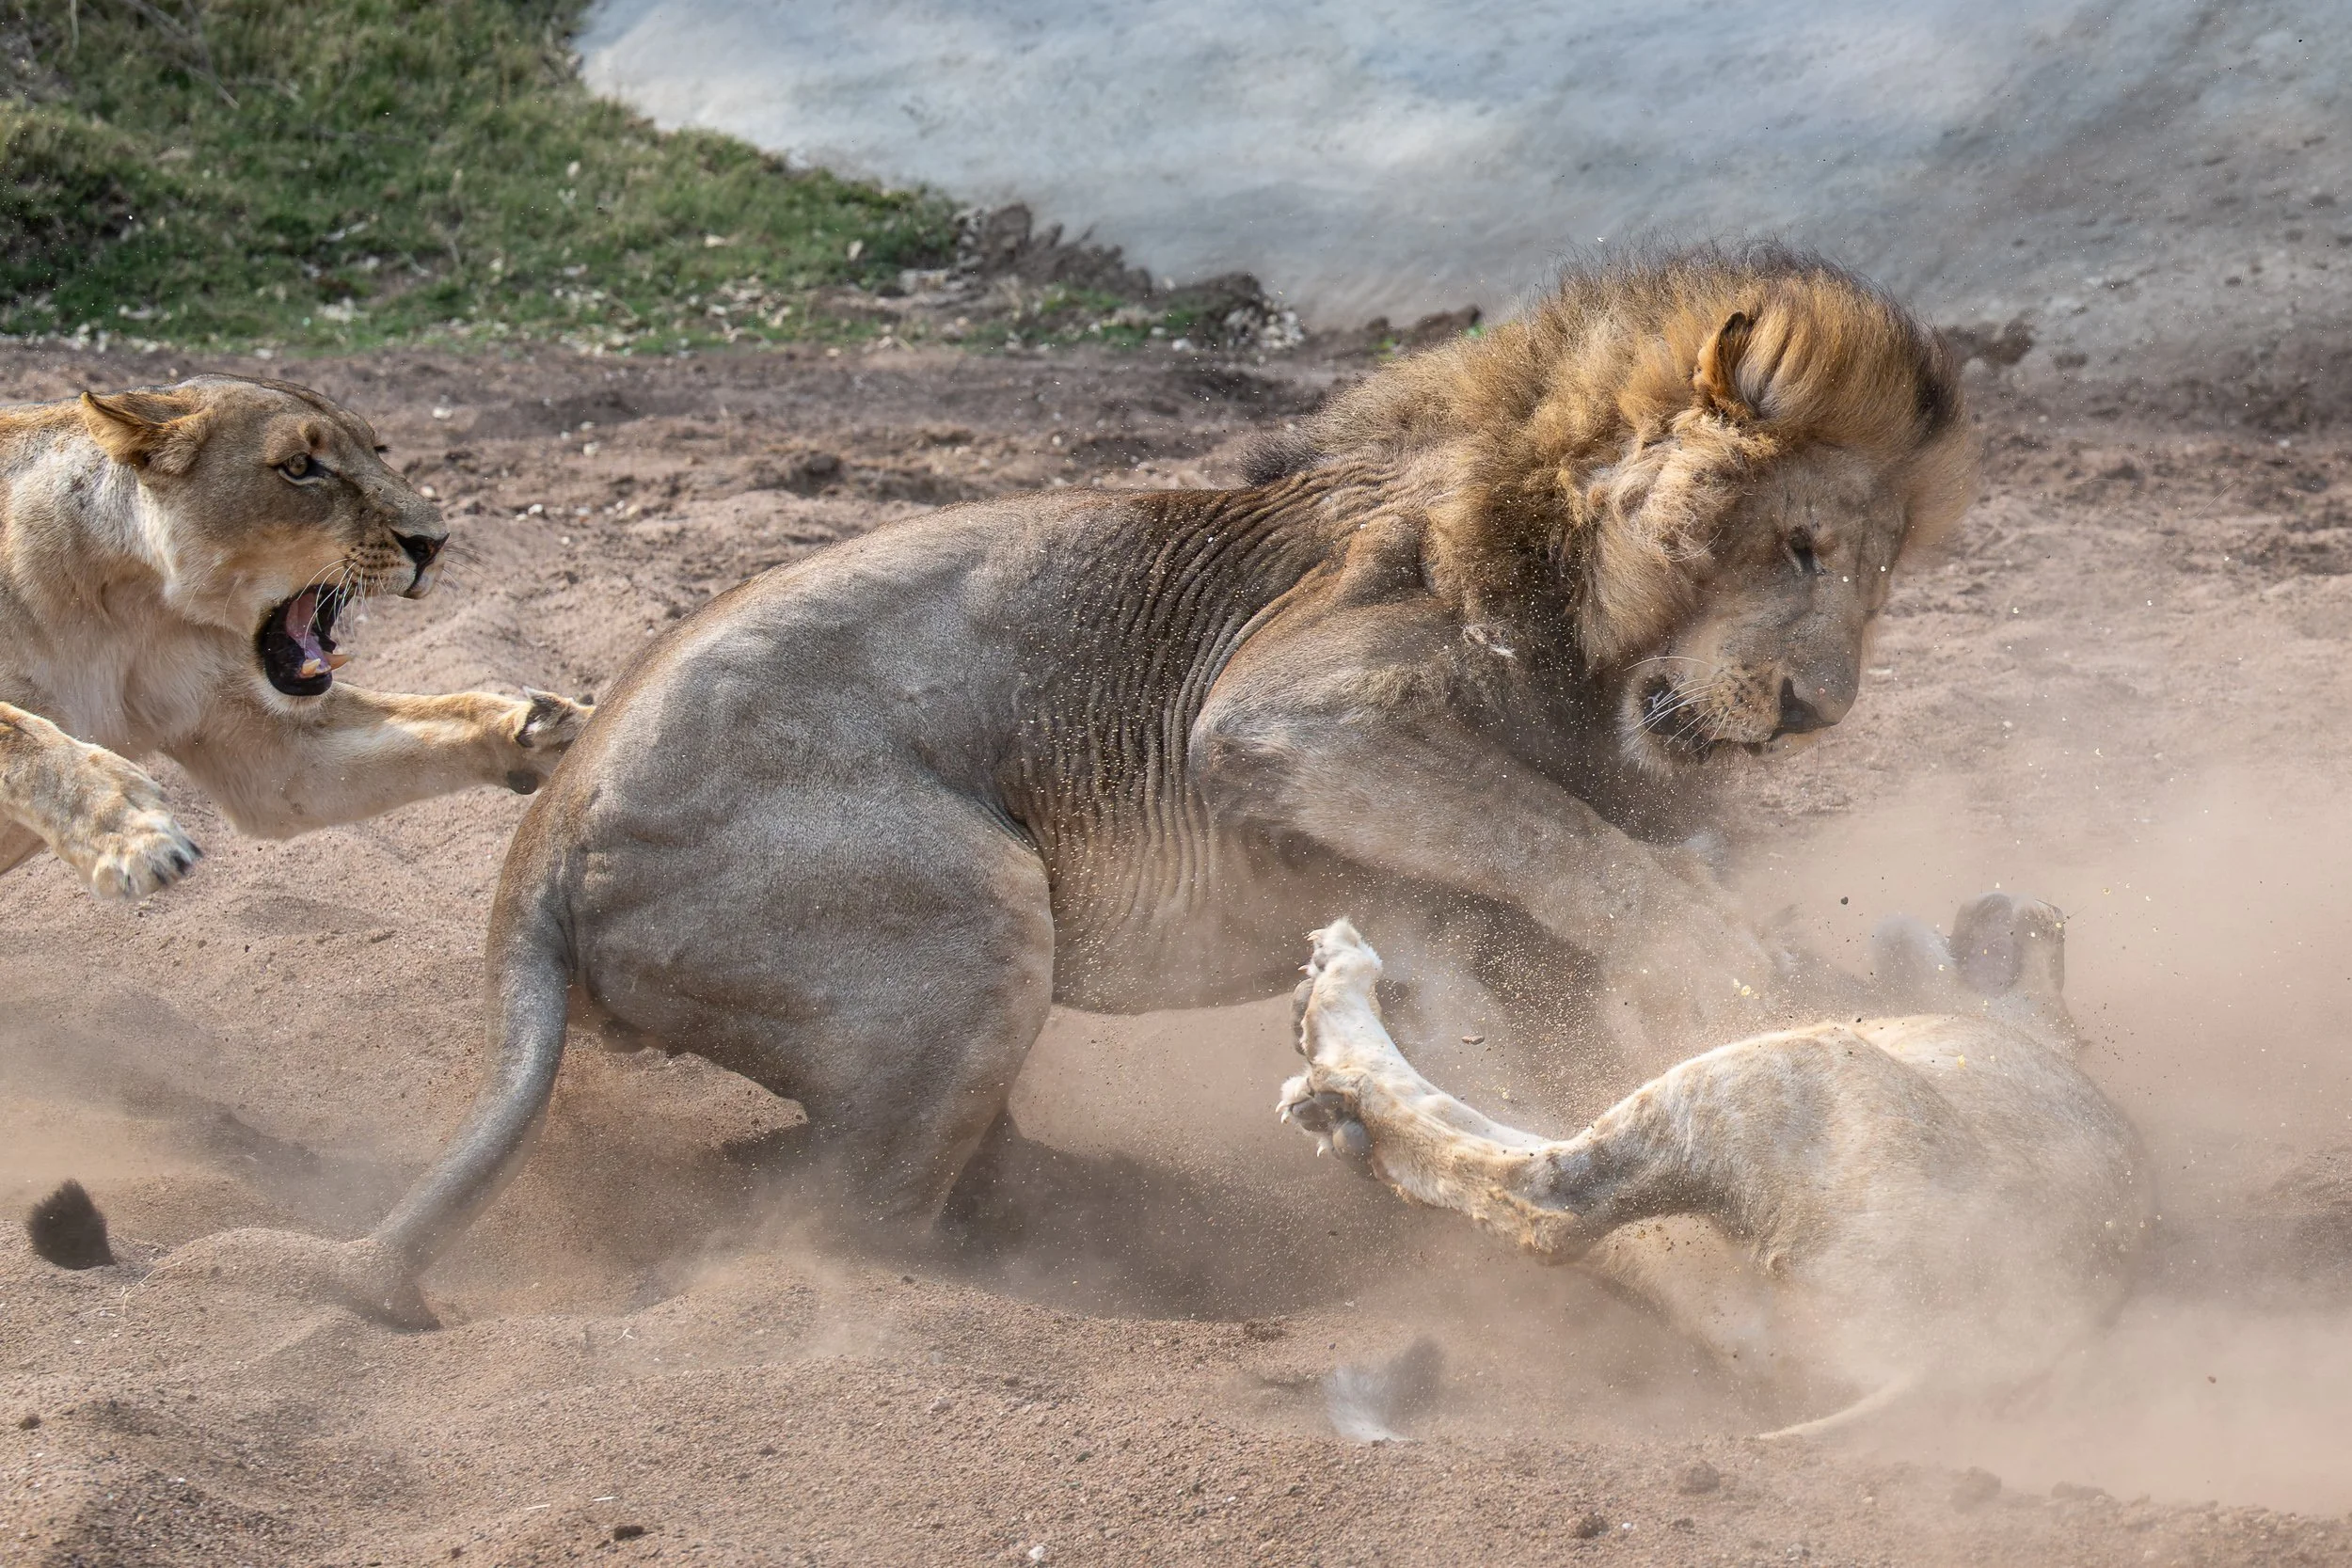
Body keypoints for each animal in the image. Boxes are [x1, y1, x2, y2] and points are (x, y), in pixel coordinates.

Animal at [0, 376, 589, 901]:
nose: (434, 542)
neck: (131, 612)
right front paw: (132, 827)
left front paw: (562, 731)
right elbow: (20, 734)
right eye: (300, 467)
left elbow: (451, 714)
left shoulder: (267, 748)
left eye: (378, 449)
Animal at [154, 246, 1975, 1324]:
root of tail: (539, 845)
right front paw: (1733, 979)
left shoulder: (1446, 903)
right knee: (842, 1231)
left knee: (877, 1170)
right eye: (1802, 549)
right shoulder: (1285, 709)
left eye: (1875, 579)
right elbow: (1594, 861)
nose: (1816, 710)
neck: (1588, 639)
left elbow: (1549, 957)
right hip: (973, 910)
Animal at [1278, 897, 2151, 1439]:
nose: (2026, 910)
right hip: (1722, 1279)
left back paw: (1341, 1014)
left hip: (1783, 1073)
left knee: (1550, 1200)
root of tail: (1955, 1359)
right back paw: (1341, 1100)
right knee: (1558, 1196)